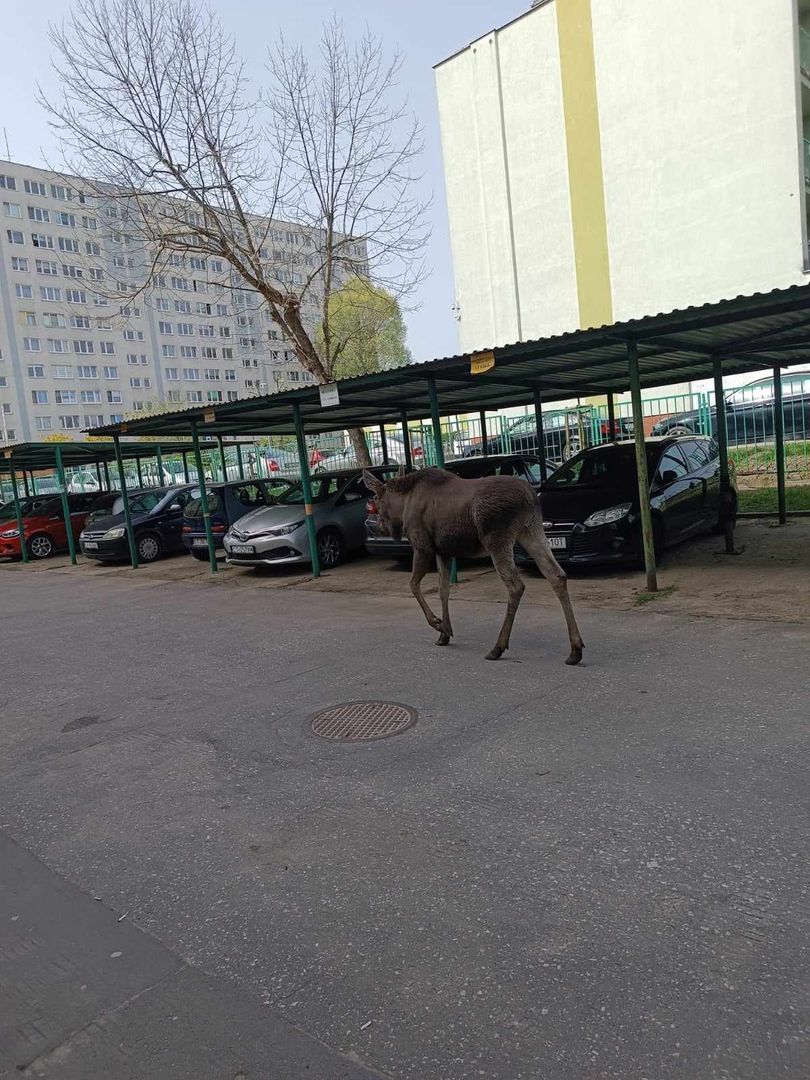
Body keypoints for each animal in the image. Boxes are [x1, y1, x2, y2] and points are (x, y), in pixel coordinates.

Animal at [365, 466, 587, 665]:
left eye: (376, 499)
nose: (380, 527)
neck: (402, 505)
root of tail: (530, 497)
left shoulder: (423, 546)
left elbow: (413, 585)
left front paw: (437, 624)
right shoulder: (443, 551)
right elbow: (443, 590)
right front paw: (445, 633)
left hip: (497, 538)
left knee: (516, 585)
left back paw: (497, 647)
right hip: (531, 531)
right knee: (556, 574)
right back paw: (575, 650)